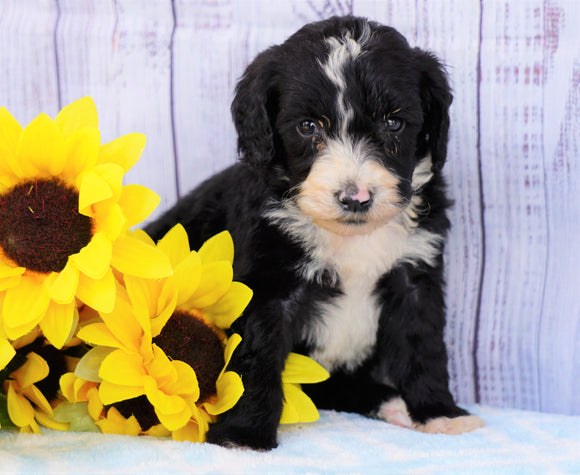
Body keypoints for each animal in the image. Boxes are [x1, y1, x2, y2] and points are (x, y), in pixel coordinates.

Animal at [146, 15, 484, 450]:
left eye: (394, 122)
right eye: (308, 127)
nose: (356, 197)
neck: (352, 239)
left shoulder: (415, 275)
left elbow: (423, 348)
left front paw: (439, 412)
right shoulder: (267, 287)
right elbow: (255, 358)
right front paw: (245, 435)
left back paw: (391, 402)